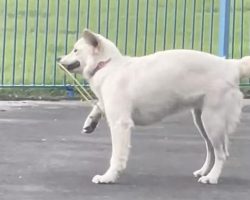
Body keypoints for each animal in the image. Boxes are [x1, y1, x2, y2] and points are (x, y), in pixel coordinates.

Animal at [57, 29, 250, 184]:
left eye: (75, 50)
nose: (58, 58)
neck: (109, 65)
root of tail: (232, 65)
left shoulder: (120, 124)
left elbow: (117, 156)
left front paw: (109, 177)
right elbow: (98, 105)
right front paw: (90, 121)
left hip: (212, 122)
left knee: (221, 153)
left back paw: (212, 177)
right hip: (201, 120)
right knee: (211, 149)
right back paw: (204, 171)